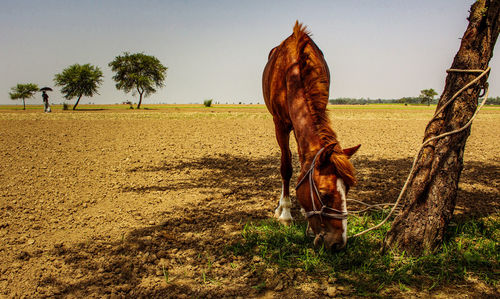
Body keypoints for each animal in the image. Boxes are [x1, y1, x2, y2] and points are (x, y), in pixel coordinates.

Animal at [262, 21, 360, 251]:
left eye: (348, 190)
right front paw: (286, 214)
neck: (292, 70)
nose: (339, 244)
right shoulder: (280, 124)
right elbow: (286, 167)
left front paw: (307, 223)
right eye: (324, 194)